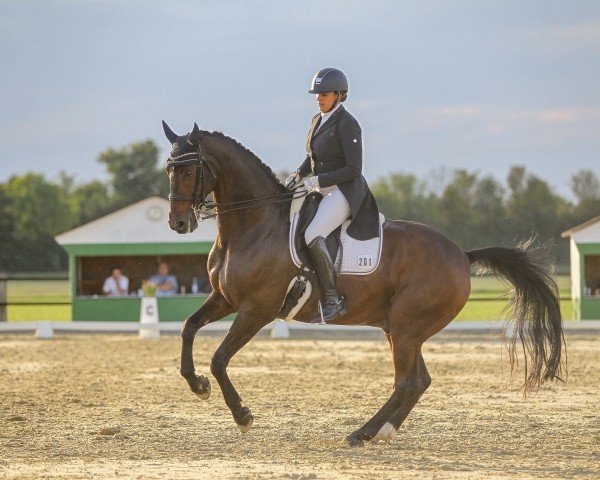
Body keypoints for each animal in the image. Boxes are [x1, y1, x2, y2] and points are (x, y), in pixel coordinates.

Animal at [162, 120, 564, 446]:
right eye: (169, 168)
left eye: (189, 170)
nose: (179, 224)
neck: (253, 225)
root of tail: (462, 255)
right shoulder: (225, 299)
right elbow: (187, 328)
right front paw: (198, 385)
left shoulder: (256, 310)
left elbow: (219, 359)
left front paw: (242, 415)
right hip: (400, 327)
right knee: (419, 380)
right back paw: (381, 431)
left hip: (406, 326)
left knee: (406, 382)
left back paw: (361, 433)